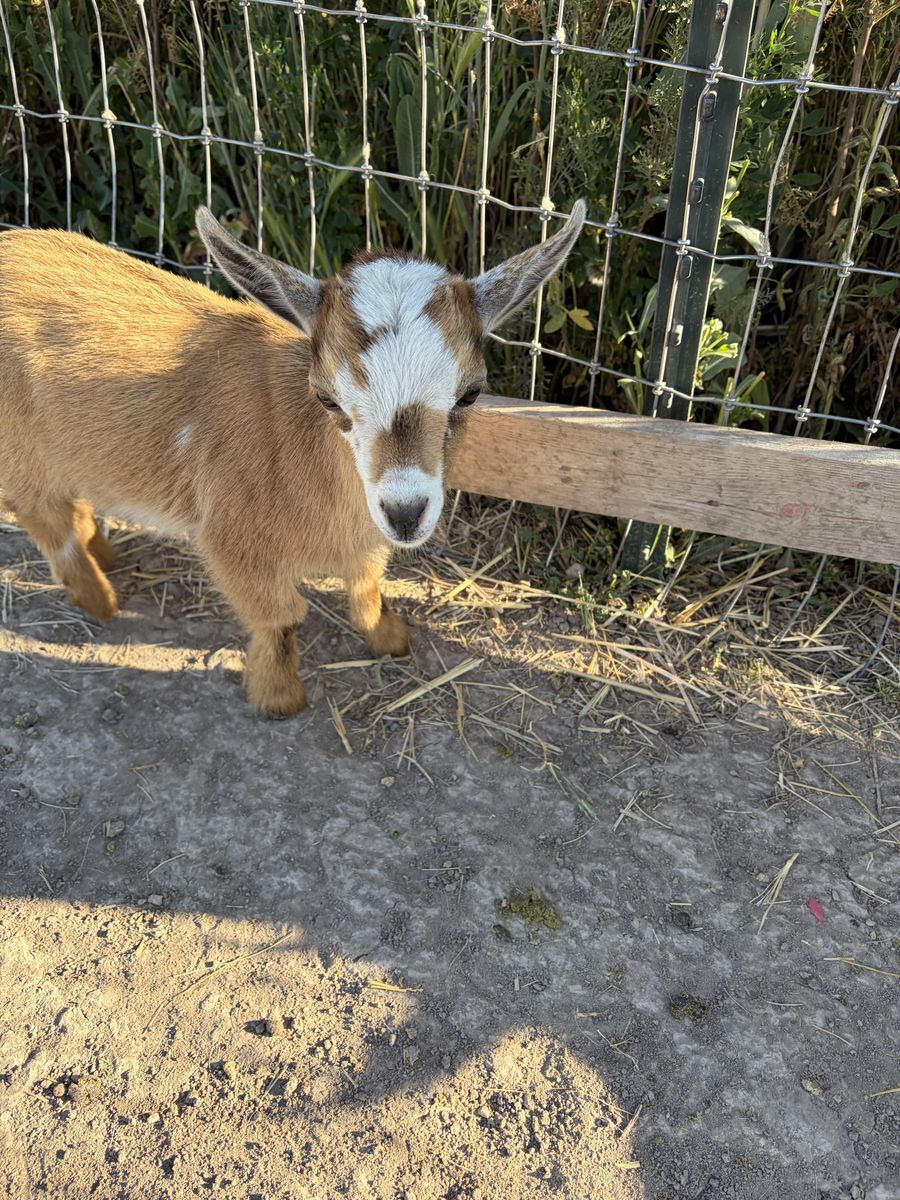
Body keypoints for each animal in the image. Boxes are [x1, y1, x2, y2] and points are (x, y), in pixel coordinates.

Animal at [0, 202, 585, 715]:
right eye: (326, 398)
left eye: (470, 393)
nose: (404, 513)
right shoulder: (233, 541)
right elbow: (279, 617)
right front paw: (278, 697)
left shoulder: (365, 540)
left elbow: (366, 584)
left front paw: (391, 639)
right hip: (21, 458)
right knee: (46, 521)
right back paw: (101, 601)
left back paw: (108, 558)